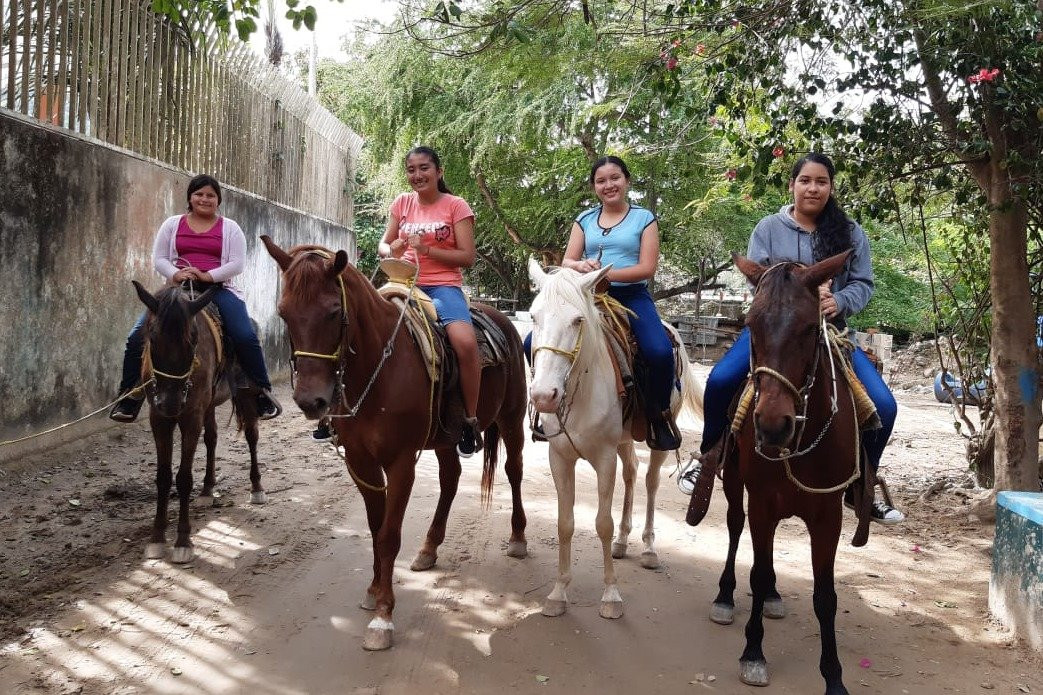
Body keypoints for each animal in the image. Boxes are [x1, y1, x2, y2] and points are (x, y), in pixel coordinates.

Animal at [132, 281, 269, 563]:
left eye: (193, 340)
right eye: (152, 338)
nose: (171, 403)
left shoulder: (191, 416)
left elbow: (183, 478)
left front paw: (183, 541)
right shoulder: (158, 418)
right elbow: (163, 477)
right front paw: (156, 538)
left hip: (247, 395)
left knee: (252, 436)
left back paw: (257, 488)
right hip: (208, 405)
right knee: (212, 438)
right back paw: (207, 490)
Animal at [260, 236, 529, 651]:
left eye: (333, 311)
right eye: (284, 313)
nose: (310, 401)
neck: (376, 370)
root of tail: (503, 321)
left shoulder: (401, 463)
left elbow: (389, 535)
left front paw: (384, 617)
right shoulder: (360, 461)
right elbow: (375, 526)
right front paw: (373, 591)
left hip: (512, 419)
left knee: (514, 471)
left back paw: (517, 537)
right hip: (447, 437)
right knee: (450, 479)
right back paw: (429, 548)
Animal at [529, 259, 700, 617]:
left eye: (578, 320)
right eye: (534, 317)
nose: (543, 396)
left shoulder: (603, 458)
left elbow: (601, 524)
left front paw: (610, 595)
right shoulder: (559, 458)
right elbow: (564, 523)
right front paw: (558, 592)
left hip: (658, 438)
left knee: (650, 481)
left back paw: (648, 549)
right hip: (625, 439)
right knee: (632, 472)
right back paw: (622, 542)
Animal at [713, 251, 867, 692]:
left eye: (810, 327)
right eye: (750, 325)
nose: (771, 425)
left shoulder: (828, 515)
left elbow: (825, 597)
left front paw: (833, 675)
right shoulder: (762, 503)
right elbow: (757, 572)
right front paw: (753, 653)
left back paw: (774, 598)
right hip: (736, 485)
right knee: (734, 527)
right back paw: (725, 596)